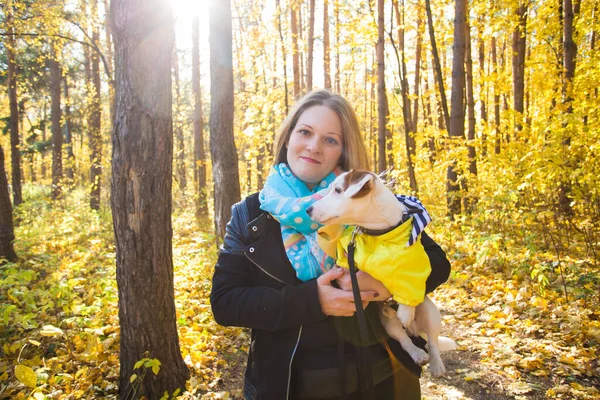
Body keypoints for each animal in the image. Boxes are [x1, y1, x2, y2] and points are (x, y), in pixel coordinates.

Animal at [308, 169, 458, 376]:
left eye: (338, 190)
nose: (308, 210)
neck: (377, 234)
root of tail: (414, 329)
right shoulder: (346, 262)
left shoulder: (415, 263)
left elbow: (409, 285)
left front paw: (406, 311)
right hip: (388, 323)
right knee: (404, 340)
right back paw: (418, 353)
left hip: (431, 312)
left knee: (433, 342)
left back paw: (436, 364)